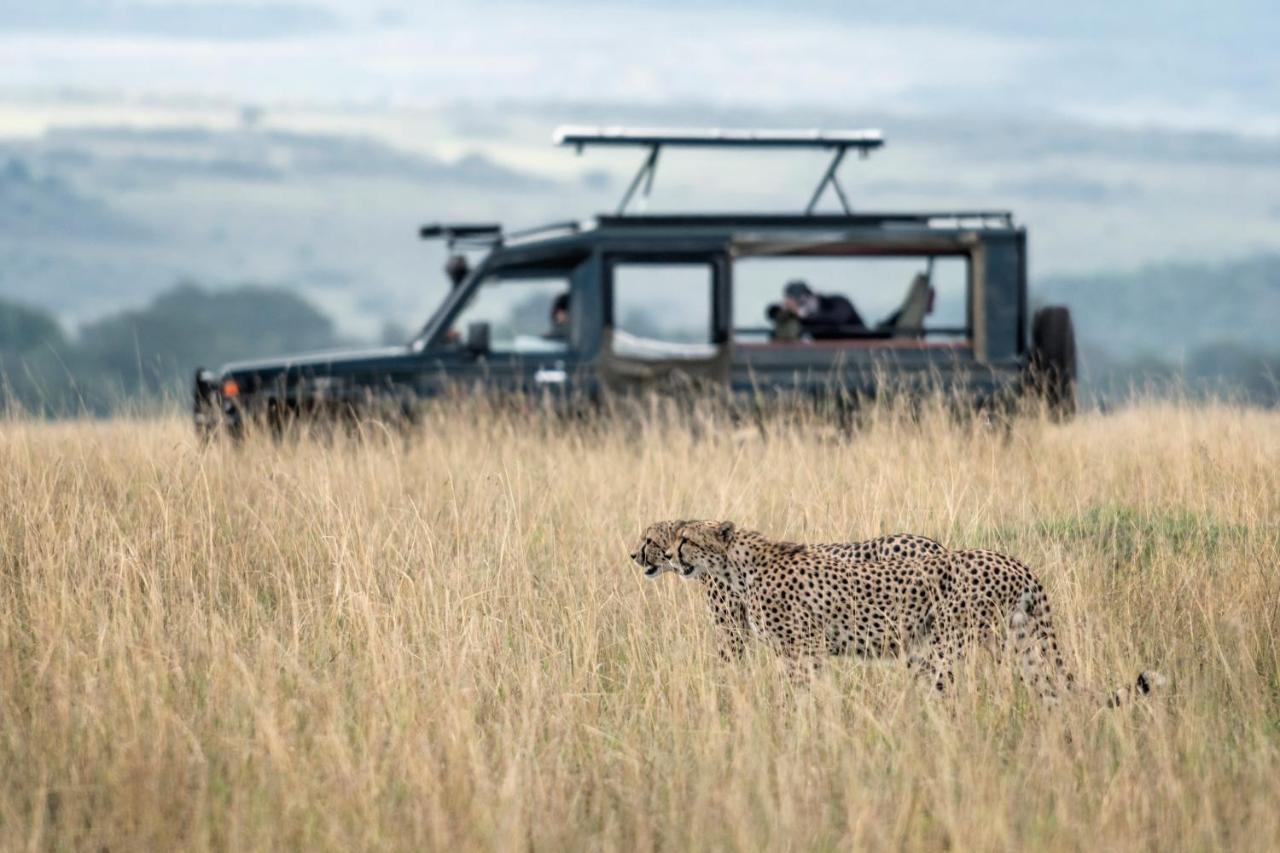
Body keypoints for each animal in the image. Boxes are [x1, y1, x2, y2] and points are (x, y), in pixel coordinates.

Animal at [665, 517, 1167, 701]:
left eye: (685, 537)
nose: (667, 554)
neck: (739, 567)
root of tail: (1010, 560)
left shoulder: (803, 651)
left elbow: (799, 696)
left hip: (942, 649)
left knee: (948, 697)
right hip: (1008, 644)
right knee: (1047, 692)